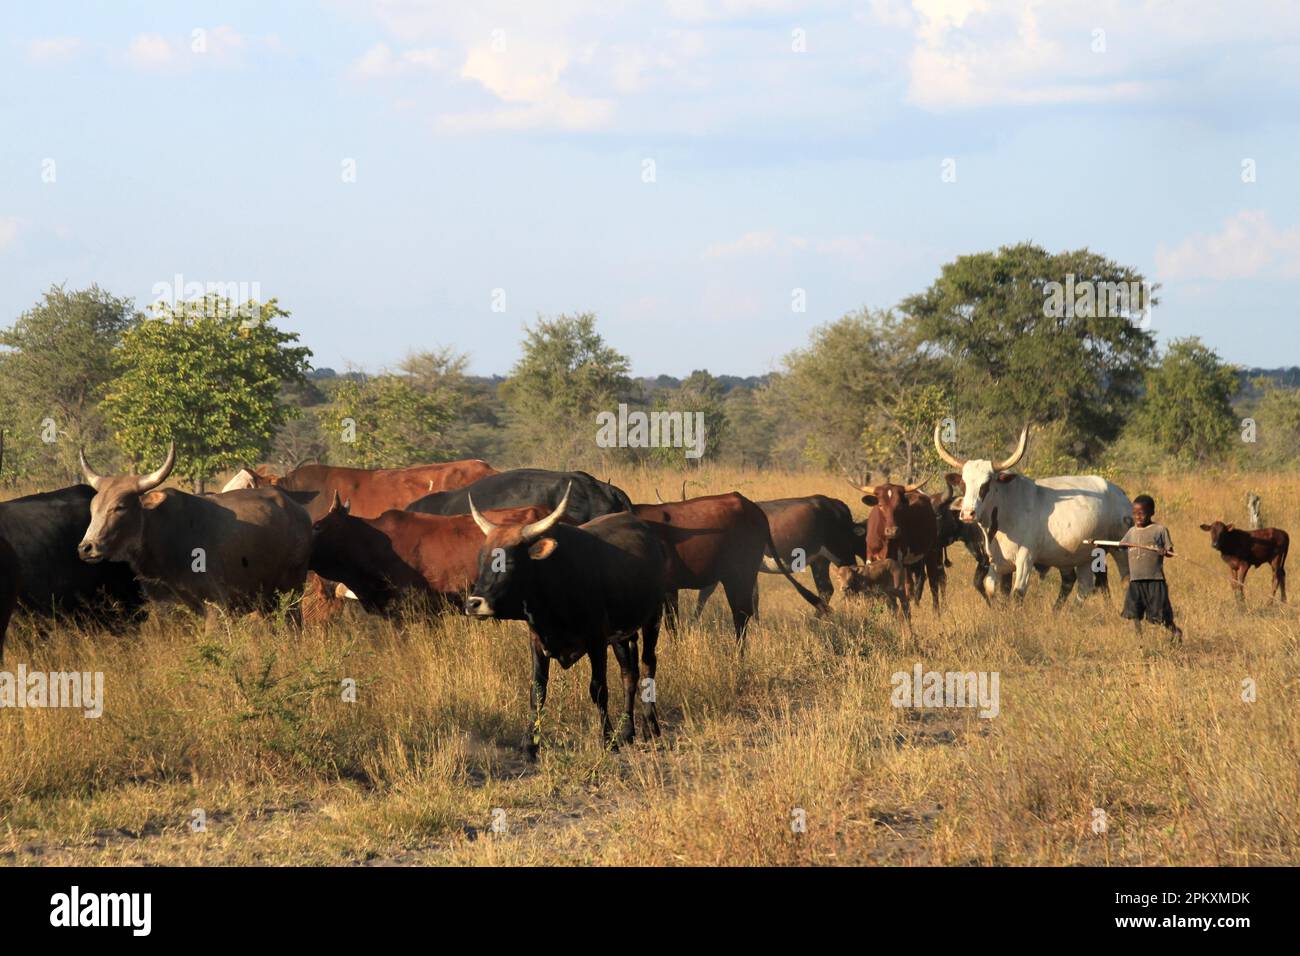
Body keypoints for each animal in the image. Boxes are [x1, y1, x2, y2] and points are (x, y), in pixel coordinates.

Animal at [78, 443, 313, 624]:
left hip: (291, 592)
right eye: (93, 507)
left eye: (119, 507)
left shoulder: (216, 607)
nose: (86, 547)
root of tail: (298, 509)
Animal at [464, 486, 669, 758]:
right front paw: (529, 745)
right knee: (629, 674)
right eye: (481, 561)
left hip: (652, 618)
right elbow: (537, 692)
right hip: (622, 635)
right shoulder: (537, 641)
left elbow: (598, 689)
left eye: (508, 562)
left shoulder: (596, 641)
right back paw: (627, 731)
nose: (473, 603)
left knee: (648, 665)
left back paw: (651, 727)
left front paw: (607, 740)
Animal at [934, 423, 1132, 601]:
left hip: (1120, 549)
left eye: (986, 484)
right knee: (1084, 587)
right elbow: (993, 592)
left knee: (1125, 580)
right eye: (963, 483)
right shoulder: (995, 563)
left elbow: (1017, 594)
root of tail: (1119, 492)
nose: (968, 513)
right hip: (1083, 555)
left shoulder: (1025, 558)